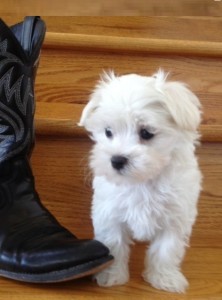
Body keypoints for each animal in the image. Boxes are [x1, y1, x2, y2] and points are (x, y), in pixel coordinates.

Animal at [79, 69, 202, 292]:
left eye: (146, 133)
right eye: (108, 132)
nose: (117, 160)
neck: (142, 180)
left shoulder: (176, 215)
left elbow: (166, 249)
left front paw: (164, 278)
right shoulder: (110, 212)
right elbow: (113, 243)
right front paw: (111, 276)